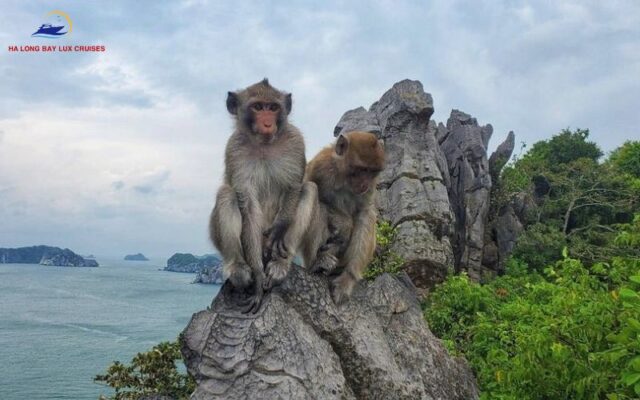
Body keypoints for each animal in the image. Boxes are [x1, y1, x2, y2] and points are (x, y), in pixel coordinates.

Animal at [210, 78, 313, 313]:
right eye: (257, 107)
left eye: (273, 108)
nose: (267, 124)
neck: (264, 145)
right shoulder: (235, 149)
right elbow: (246, 204)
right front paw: (257, 277)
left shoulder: (295, 141)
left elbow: (294, 186)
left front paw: (279, 228)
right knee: (227, 194)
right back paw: (239, 268)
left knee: (309, 189)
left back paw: (280, 265)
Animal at [300, 131, 385, 304]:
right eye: (362, 169)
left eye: (372, 172)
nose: (365, 184)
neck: (344, 178)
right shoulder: (320, 167)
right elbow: (311, 190)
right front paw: (345, 225)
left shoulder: (370, 188)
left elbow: (364, 210)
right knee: (315, 196)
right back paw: (316, 263)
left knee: (366, 216)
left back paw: (347, 277)